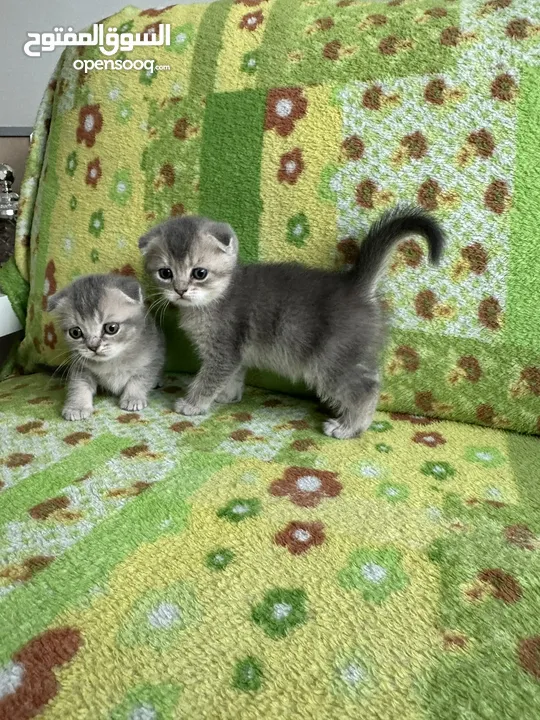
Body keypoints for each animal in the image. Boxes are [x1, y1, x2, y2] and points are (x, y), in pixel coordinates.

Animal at [46, 276, 165, 422]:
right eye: (75, 332)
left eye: (111, 328)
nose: (93, 346)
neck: (112, 361)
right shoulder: (80, 366)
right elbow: (78, 386)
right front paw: (77, 406)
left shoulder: (152, 358)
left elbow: (139, 380)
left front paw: (133, 397)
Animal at [140, 204, 448, 438]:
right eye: (165, 273)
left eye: (199, 273)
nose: (180, 290)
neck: (215, 298)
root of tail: (354, 286)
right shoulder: (234, 353)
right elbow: (233, 375)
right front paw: (228, 395)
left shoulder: (223, 351)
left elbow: (208, 379)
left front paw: (193, 404)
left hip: (330, 361)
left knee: (366, 389)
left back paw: (349, 427)